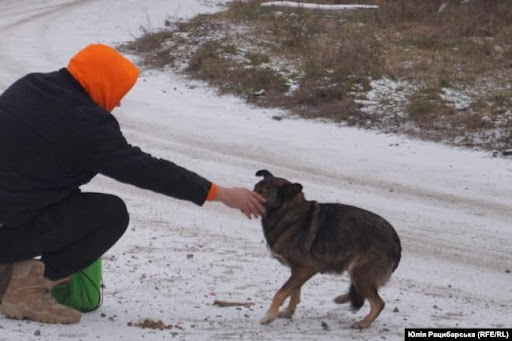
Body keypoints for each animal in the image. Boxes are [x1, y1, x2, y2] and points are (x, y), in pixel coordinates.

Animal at [254, 169, 402, 326]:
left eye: (263, 192)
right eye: (255, 188)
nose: (249, 194)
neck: (290, 214)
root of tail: (394, 238)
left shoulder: (305, 269)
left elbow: (281, 293)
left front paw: (269, 316)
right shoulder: (297, 271)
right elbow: (294, 293)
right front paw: (288, 312)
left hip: (360, 274)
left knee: (378, 303)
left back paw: (363, 323)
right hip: (359, 275)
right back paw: (344, 300)